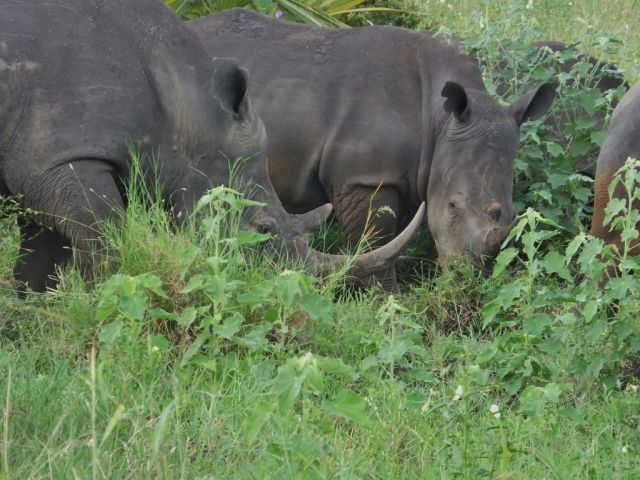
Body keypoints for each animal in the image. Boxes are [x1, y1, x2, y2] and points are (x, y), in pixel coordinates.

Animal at [0, 0, 420, 294]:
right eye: (263, 228)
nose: (291, 290)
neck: (184, 113)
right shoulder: (61, 160)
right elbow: (108, 239)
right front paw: (110, 301)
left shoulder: (48, 170)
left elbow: (41, 259)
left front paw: (29, 319)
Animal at [188, 9, 556, 289]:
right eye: (452, 206)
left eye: (512, 215)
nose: (467, 277)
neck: (439, 121)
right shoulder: (366, 176)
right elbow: (376, 240)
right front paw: (387, 301)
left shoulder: (407, 174)